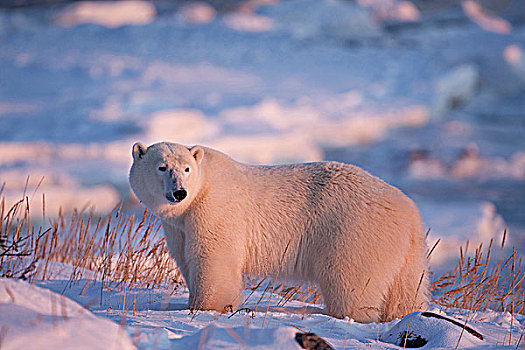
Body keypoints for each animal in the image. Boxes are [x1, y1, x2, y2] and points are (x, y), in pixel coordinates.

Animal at [129, 142, 428, 322]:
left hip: (353, 232)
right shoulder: (178, 226)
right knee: (405, 290)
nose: (179, 192)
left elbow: (213, 260)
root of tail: (408, 210)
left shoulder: (214, 210)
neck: (201, 189)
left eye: (187, 168)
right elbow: (184, 257)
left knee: (351, 285)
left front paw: (205, 307)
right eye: (162, 167)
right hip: (404, 252)